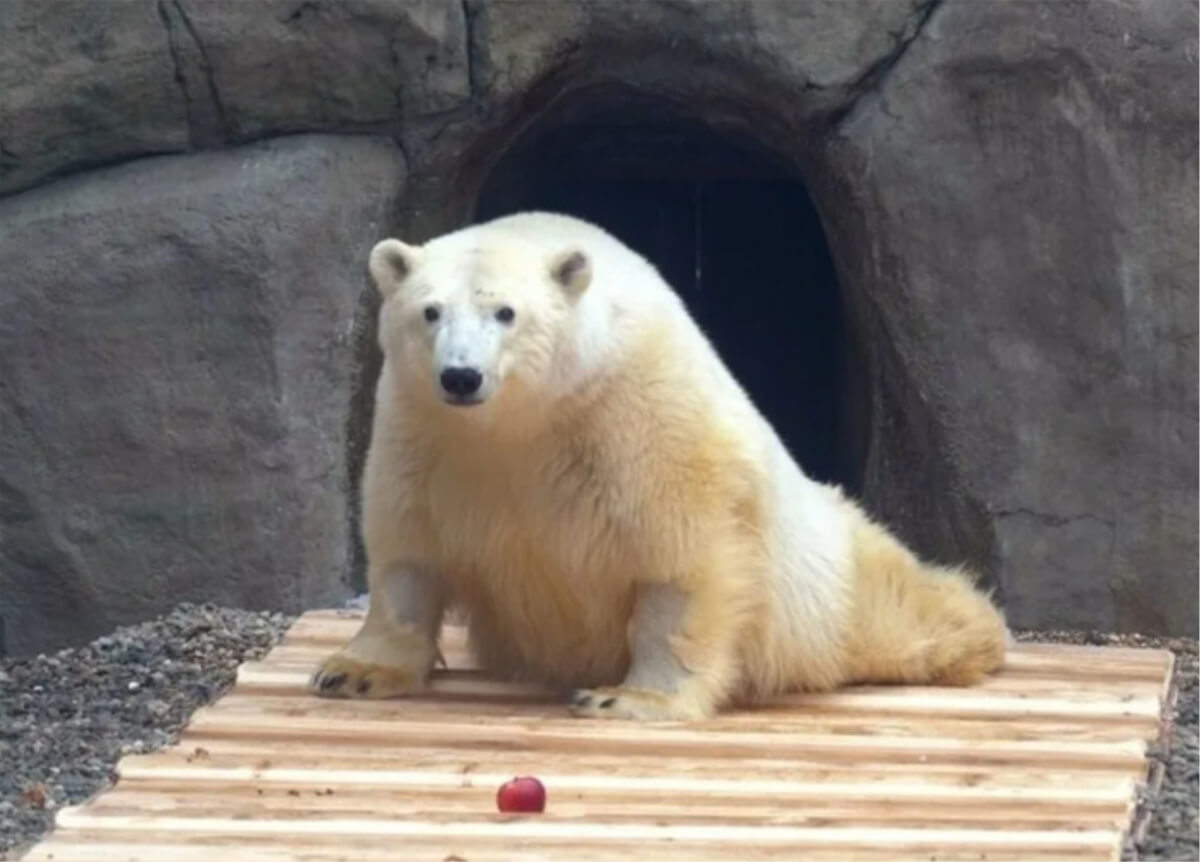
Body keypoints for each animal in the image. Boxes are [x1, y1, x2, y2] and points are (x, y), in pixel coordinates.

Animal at [314, 211, 1008, 720]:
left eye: (505, 312)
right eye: (429, 311)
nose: (461, 376)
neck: (522, 424)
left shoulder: (638, 415)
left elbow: (677, 560)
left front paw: (625, 697)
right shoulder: (422, 430)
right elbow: (409, 552)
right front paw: (351, 671)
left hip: (826, 583)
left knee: (903, 611)